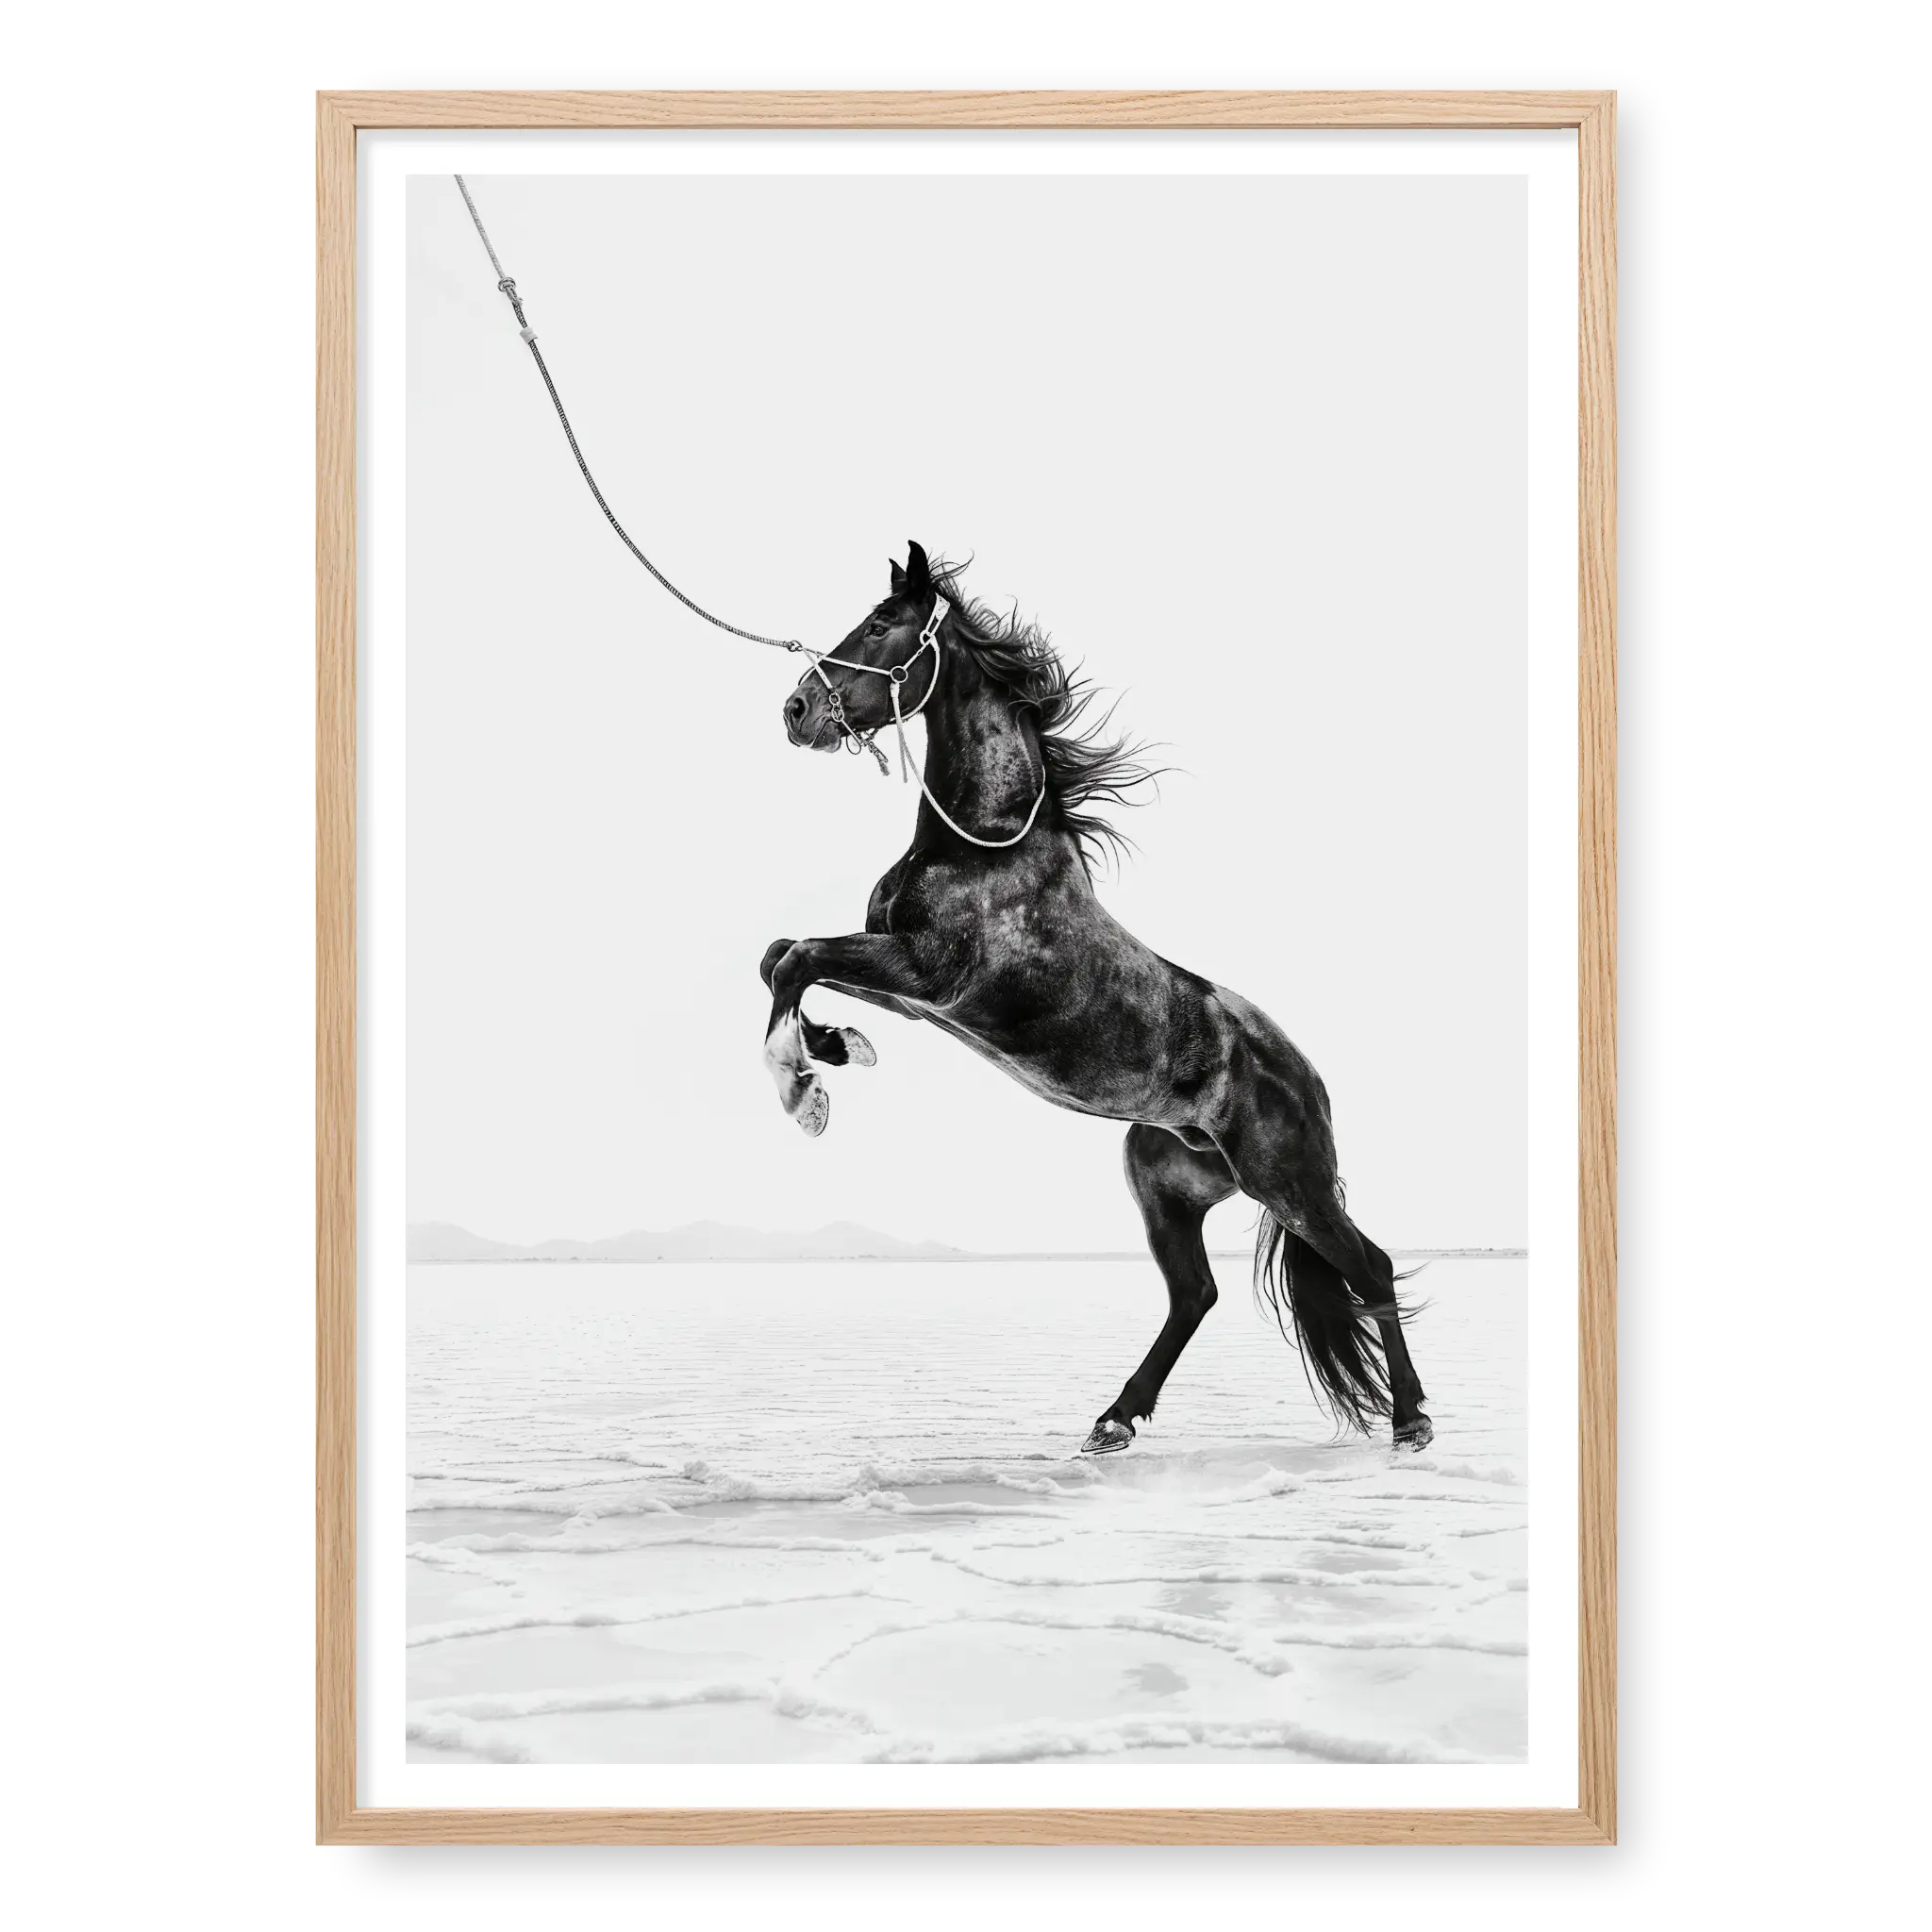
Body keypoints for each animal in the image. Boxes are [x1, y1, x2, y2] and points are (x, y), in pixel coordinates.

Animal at [761, 543, 1432, 1457]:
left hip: (1289, 1183)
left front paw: (804, 1089)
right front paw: (835, 1049)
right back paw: (1114, 1420)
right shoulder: (906, 989)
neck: (984, 845)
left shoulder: (926, 975)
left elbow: (796, 960)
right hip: (1168, 1188)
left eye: (879, 623)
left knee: (1371, 1266)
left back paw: (1413, 1420)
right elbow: (783, 960)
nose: (797, 711)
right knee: (1197, 1294)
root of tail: (1309, 1080)